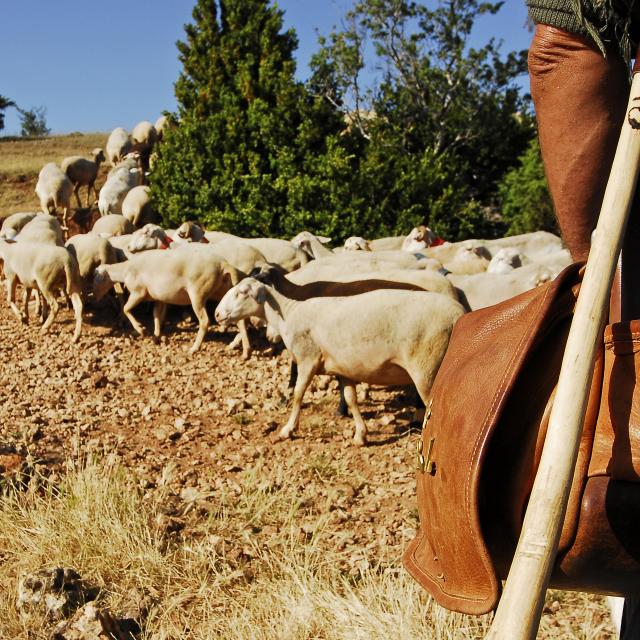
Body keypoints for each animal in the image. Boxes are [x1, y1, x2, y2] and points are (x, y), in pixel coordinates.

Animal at [218, 280, 462, 444]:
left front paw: (288, 429)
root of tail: (458, 315)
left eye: (242, 292)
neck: (288, 315)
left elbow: (298, 394)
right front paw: (360, 435)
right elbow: (351, 399)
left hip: (427, 366)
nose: (218, 314)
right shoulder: (344, 370)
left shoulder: (307, 359)